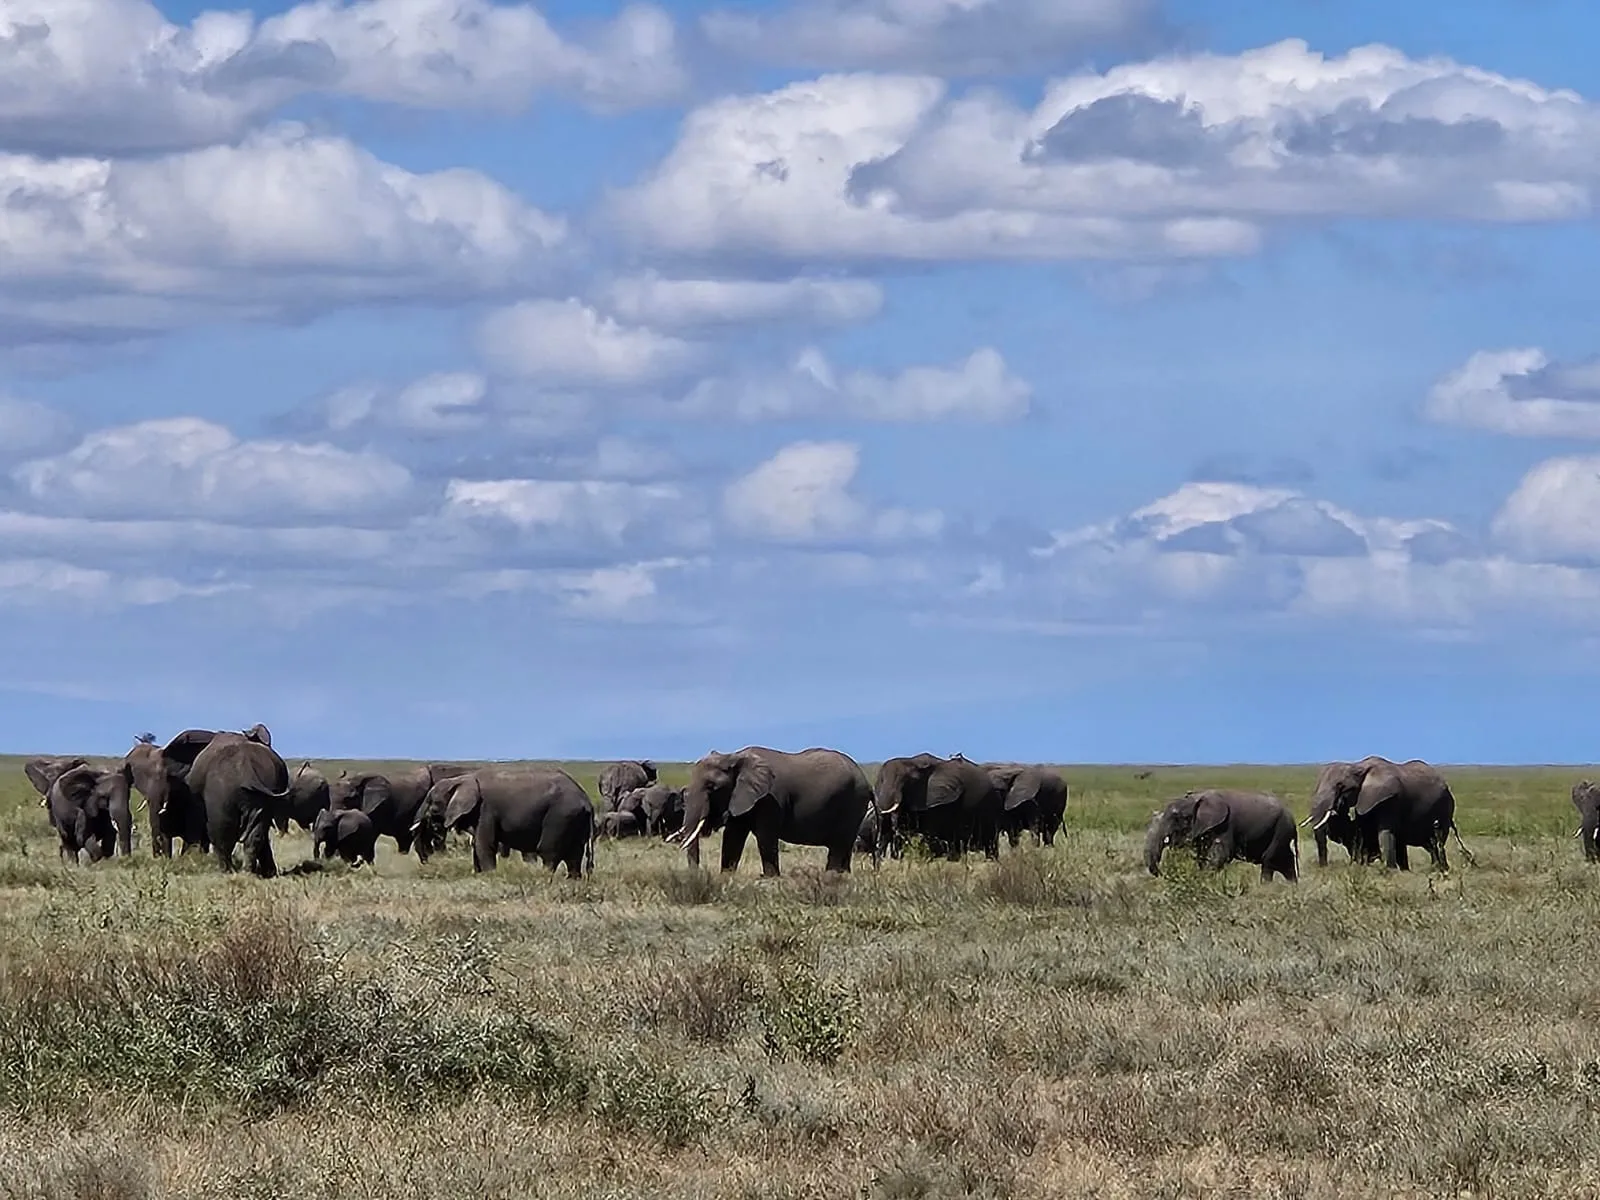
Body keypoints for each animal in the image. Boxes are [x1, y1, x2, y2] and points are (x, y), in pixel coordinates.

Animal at [412, 767, 594, 877]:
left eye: (432, 804)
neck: (462, 779)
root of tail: (587, 801)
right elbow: (477, 846)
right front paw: (479, 875)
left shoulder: (486, 809)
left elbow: (484, 845)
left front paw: (489, 876)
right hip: (575, 820)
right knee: (574, 856)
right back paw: (572, 881)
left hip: (560, 816)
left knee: (549, 852)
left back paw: (543, 877)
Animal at [670, 746, 871, 876]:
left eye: (712, 787)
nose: (696, 874)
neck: (735, 757)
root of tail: (866, 781)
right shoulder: (741, 797)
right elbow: (733, 837)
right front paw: (726, 876)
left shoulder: (769, 799)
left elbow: (765, 836)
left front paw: (770, 878)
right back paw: (844, 875)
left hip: (852, 802)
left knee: (839, 844)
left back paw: (832, 876)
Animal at [873, 753, 1002, 862]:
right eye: (881, 781)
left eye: (907, 782)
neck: (912, 762)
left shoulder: (936, 799)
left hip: (990, 804)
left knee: (989, 839)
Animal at [1145, 789, 1298, 883]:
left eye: (1176, 817)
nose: (1164, 875)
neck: (1195, 799)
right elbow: (1202, 857)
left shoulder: (1225, 826)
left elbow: (1221, 856)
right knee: (1286, 865)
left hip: (1281, 830)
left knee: (1268, 862)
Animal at [1304, 757, 1470, 871]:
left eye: (1341, 787)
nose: (1324, 867)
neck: (1359, 767)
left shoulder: (1388, 800)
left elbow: (1385, 833)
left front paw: (1389, 871)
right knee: (1428, 845)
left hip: (1445, 808)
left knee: (1437, 842)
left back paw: (1439, 869)